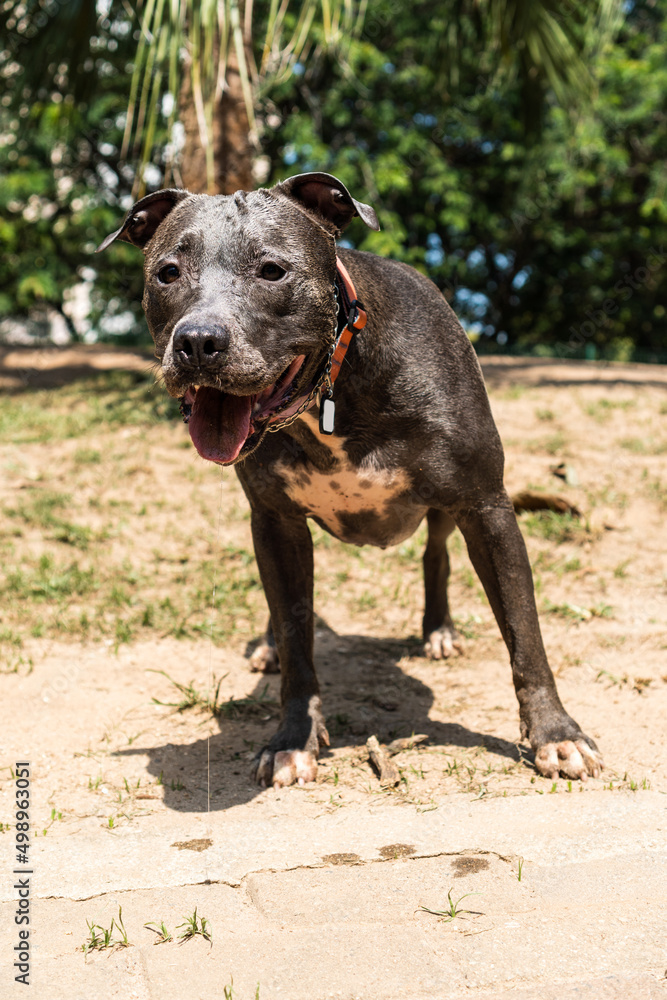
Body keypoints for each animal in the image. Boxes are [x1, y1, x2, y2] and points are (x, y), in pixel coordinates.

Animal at [99, 170, 604, 788]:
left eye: (273, 270)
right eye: (167, 272)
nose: (197, 341)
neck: (334, 382)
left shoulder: (487, 506)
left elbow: (525, 633)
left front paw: (556, 734)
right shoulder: (277, 522)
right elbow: (297, 637)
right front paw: (293, 739)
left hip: (447, 508)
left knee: (436, 554)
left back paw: (439, 629)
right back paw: (268, 645)